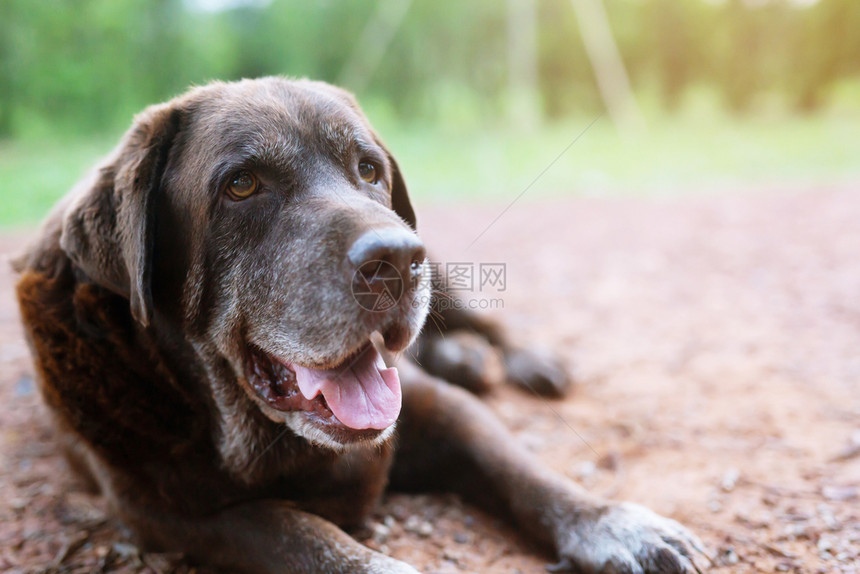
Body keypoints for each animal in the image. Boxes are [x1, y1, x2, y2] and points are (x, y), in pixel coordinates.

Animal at [16, 77, 708, 574]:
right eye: (241, 185)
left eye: (368, 170)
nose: (396, 259)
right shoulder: (168, 512)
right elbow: (299, 534)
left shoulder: (439, 410)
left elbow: (522, 470)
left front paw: (618, 525)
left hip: (447, 273)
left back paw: (522, 360)